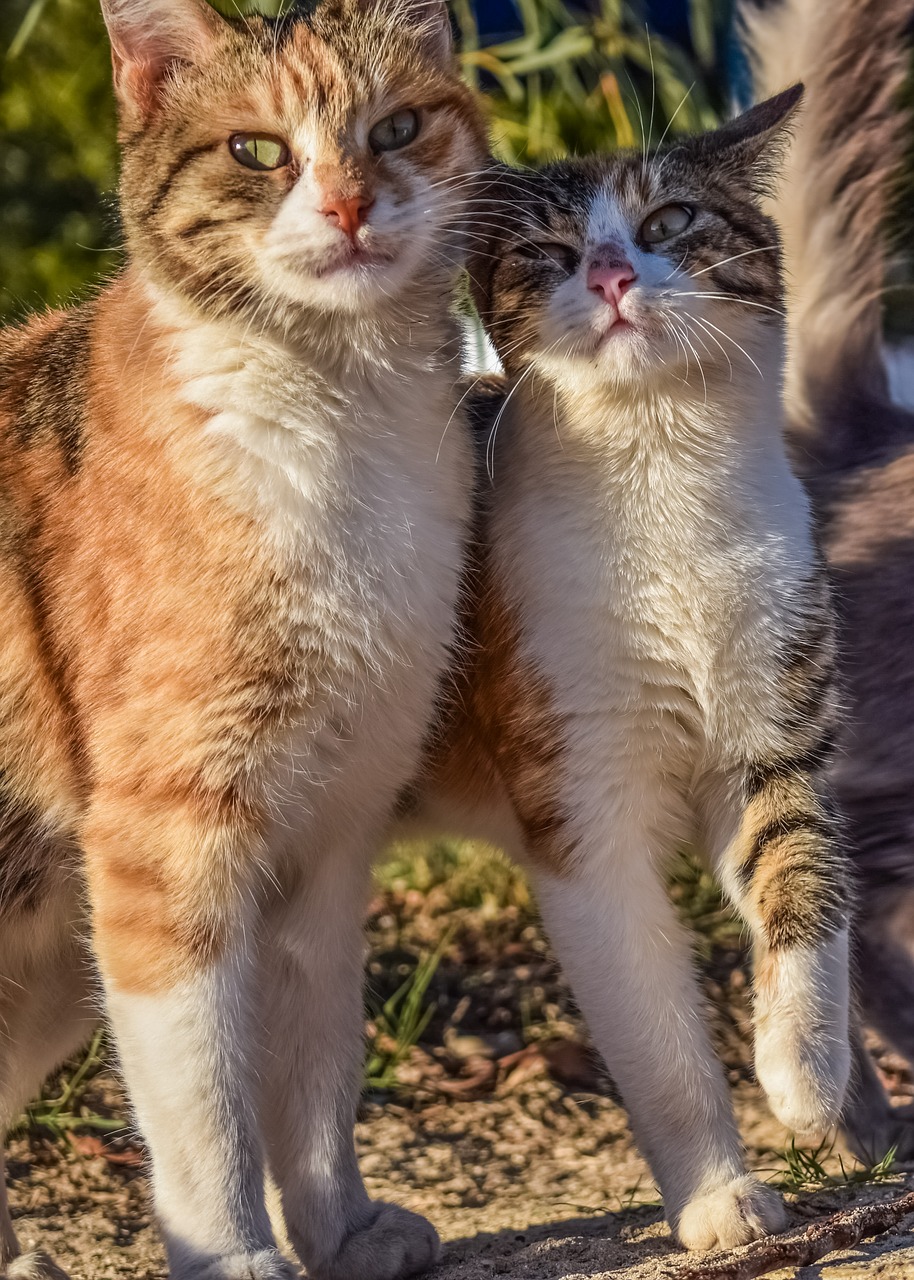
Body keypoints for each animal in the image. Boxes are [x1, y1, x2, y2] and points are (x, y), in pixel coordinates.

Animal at [404, 87, 844, 1249]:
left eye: (670, 219)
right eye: (548, 251)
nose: (606, 273)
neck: (660, 485)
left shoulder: (775, 728)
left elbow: (802, 880)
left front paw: (805, 1073)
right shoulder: (580, 806)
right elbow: (653, 1033)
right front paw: (717, 1197)